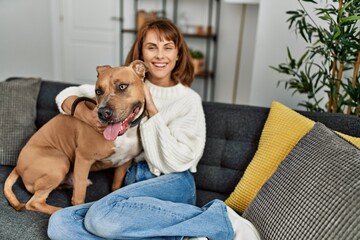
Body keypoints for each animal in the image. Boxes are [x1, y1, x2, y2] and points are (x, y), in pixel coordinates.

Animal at [3, 59, 147, 215]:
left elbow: (116, 186)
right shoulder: (83, 158)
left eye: (122, 86)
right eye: (98, 91)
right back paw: (60, 210)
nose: (103, 113)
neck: (125, 134)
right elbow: (79, 197)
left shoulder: (125, 162)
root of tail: (17, 165)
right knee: (34, 202)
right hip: (60, 161)